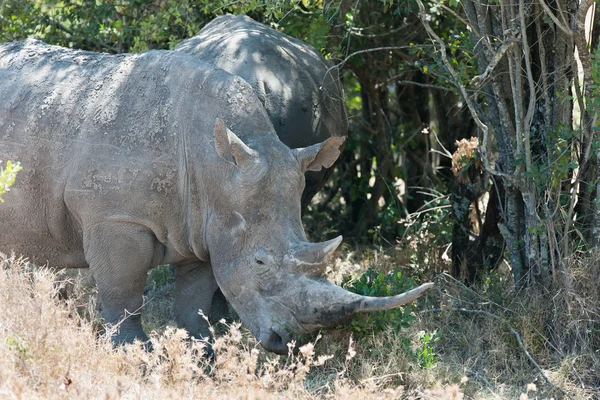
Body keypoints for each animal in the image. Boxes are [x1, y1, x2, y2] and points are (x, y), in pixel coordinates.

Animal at [0, 39, 432, 354]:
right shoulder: (116, 218)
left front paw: (202, 358)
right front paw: (136, 358)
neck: (215, 164)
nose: (288, 343)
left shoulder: (206, 227)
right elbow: (124, 300)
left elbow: (195, 308)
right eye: (260, 262)